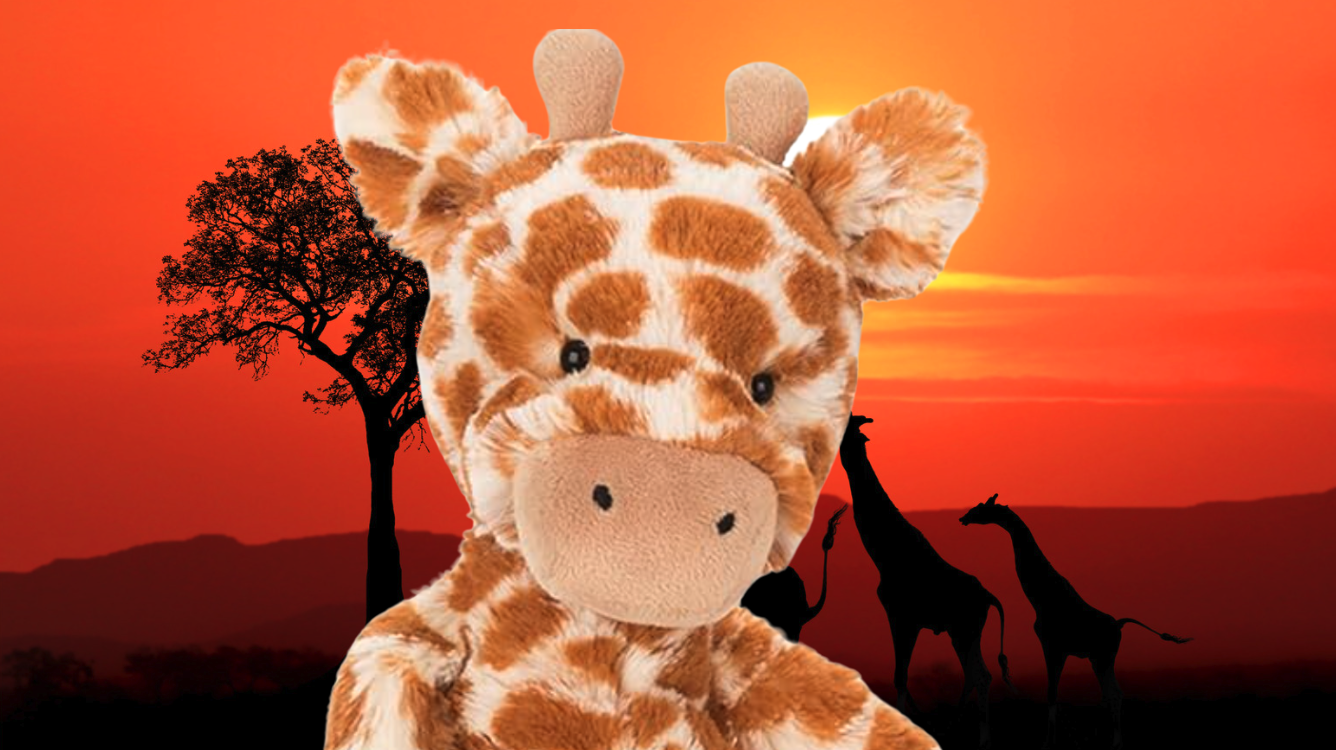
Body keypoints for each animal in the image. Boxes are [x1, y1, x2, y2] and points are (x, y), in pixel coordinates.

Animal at [841, 415, 1013, 749]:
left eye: (851, 432)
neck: (885, 554)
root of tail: (988, 596)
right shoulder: (905, 619)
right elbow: (901, 677)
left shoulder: (903, 617)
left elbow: (900, 676)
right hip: (964, 632)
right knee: (980, 674)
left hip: (964, 629)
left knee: (977, 674)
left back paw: (971, 737)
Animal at [959, 494, 1192, 750]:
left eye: (981, 508)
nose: (964, 518)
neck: (1042, 598)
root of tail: (1119, 625)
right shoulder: (1058, 649)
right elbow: (1054, 693)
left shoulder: (1053, 647)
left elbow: (1052, 693)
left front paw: (1048, 743)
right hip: (1099, 658)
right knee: (1113, 693)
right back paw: (1111, 741)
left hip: (1102, 657)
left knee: (1113, 693)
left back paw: (1115, 743)